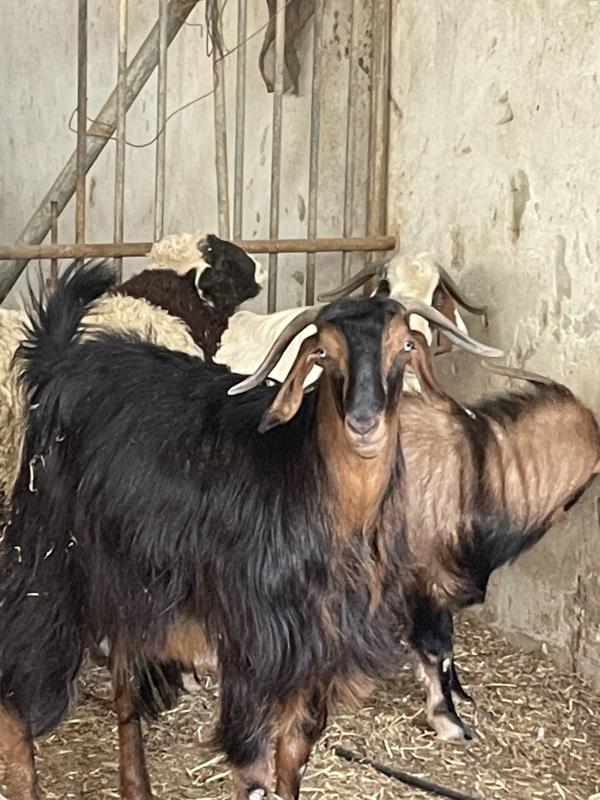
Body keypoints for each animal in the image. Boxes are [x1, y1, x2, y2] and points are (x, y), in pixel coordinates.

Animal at [0, 262, 499, 800]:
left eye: (405, 345)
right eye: (323, 351)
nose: (364, 423)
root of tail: (60, 361)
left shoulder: (316, 651)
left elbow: (294, 754)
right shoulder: (255, 647)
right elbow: (254, 769)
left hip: (129, 578)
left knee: (126, 679)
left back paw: (137, 786)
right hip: (49, 555)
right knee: (20, 665)